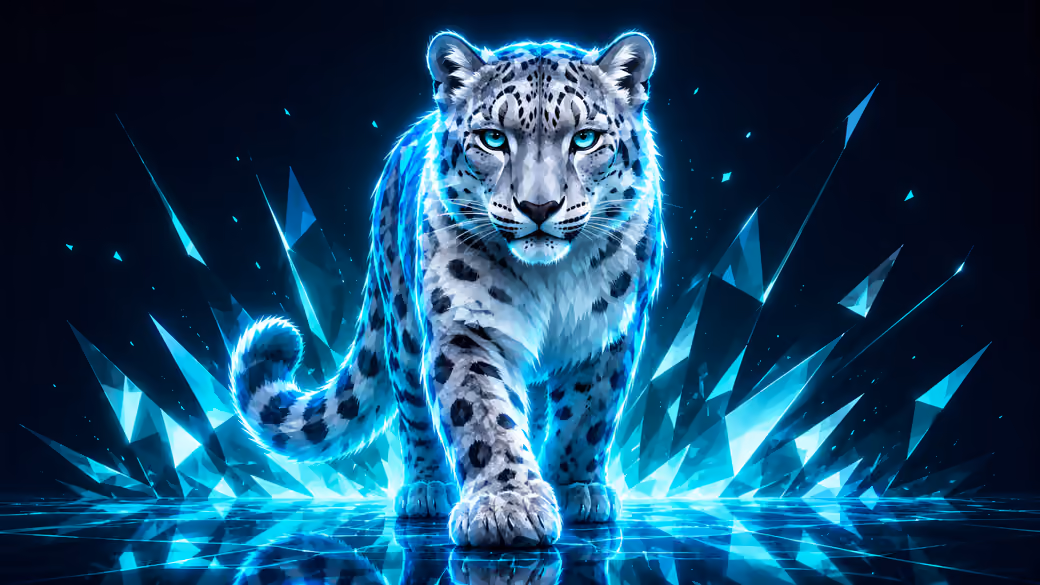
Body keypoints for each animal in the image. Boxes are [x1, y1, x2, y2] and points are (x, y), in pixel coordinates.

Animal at [230, 31, 664, 548]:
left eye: (585, 138)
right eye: (493, 138)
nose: (539, 207)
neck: (551, 279)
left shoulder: (607, 335)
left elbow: (587, 418)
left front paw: (577, 488)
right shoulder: (467, 326)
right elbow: (482, 414)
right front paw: (506, 507)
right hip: (401, 323)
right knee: (412, 410)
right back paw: (423, 491)